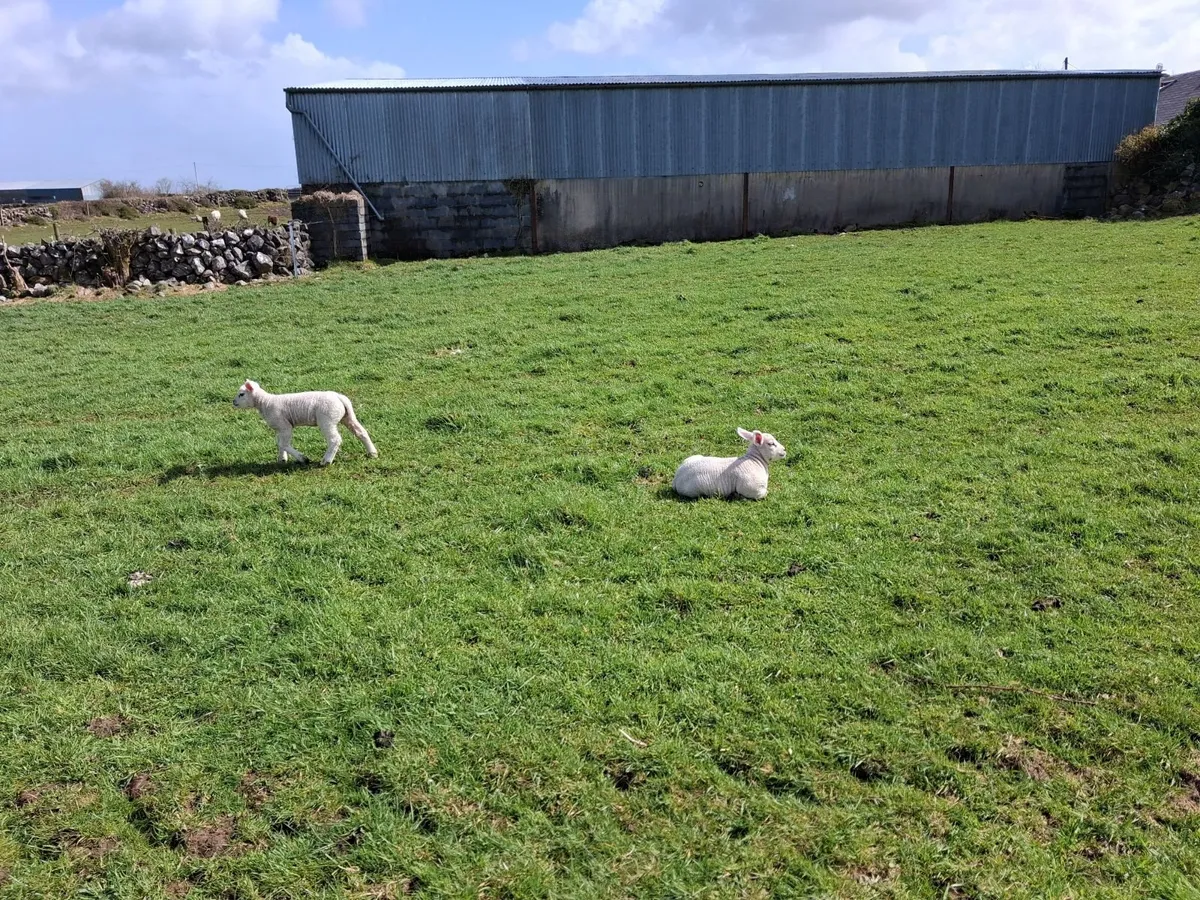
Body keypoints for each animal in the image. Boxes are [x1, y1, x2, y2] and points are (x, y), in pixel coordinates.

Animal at [232, 379, 378, 465]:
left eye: (241, 394)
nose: (233, 402)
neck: (265, 403)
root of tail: (339, 398)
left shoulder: (285, 426)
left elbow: (283, 444)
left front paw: (303, 458)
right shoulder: (280, 428)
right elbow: (279, 443)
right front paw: (282, 459)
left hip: (327, 420)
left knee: (335, 439)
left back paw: (326, 460)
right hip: (347, 417)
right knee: (361, 432)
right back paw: (372, 453)